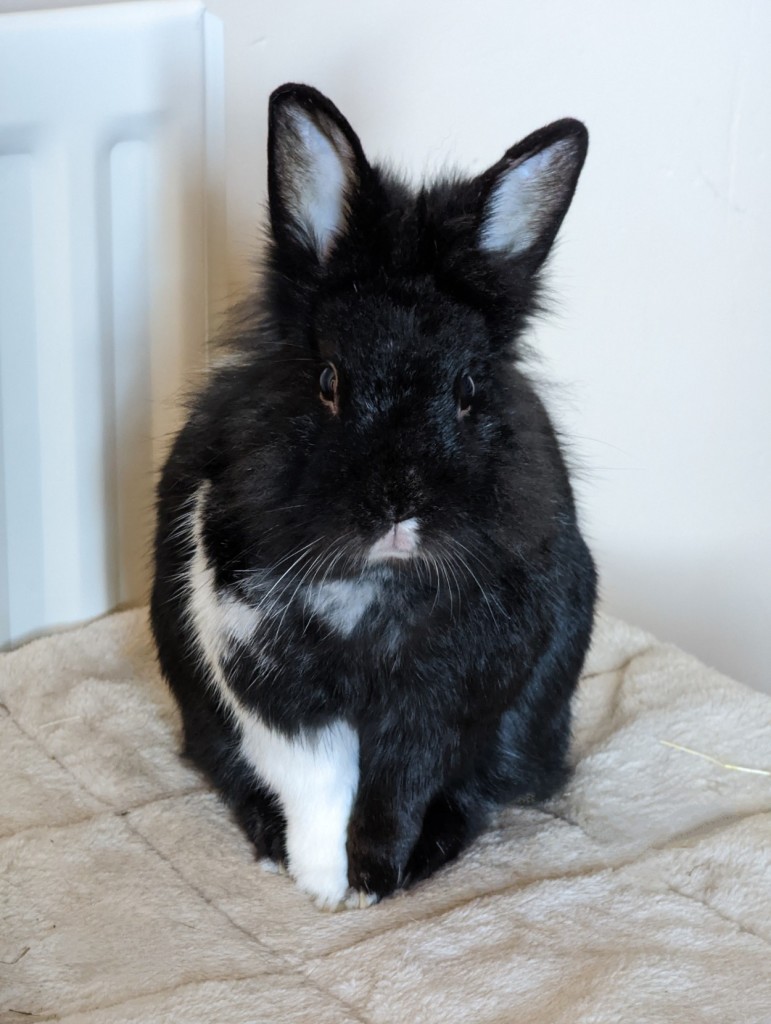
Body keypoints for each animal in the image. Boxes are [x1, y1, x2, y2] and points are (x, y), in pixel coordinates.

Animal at [148, 83, 593, 909]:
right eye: (327, 380)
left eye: (469, 389)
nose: (397, 511)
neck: (375, 584)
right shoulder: (266, 676)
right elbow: (316, 785)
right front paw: (324, 885)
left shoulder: (440, 698)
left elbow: (399, 788)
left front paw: (375, 880)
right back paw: (268, 841)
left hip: (533, 716)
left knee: (486, 786)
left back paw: (431, 853)